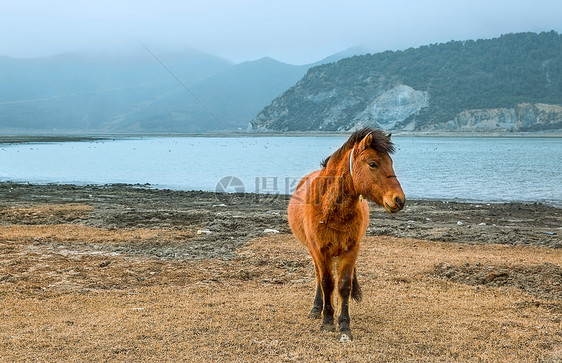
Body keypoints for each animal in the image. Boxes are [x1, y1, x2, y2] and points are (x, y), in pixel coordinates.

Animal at [286, 128, 404, 344]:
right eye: (373, 163)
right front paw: (327, 322)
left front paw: (344, 326)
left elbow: (343, 286)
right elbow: (327, 283)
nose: (399, 200)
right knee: (319, 278)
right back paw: (316, 309)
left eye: (391, 162)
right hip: (313, 252)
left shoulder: (350, 251)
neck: (330, 209)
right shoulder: (321, 251)